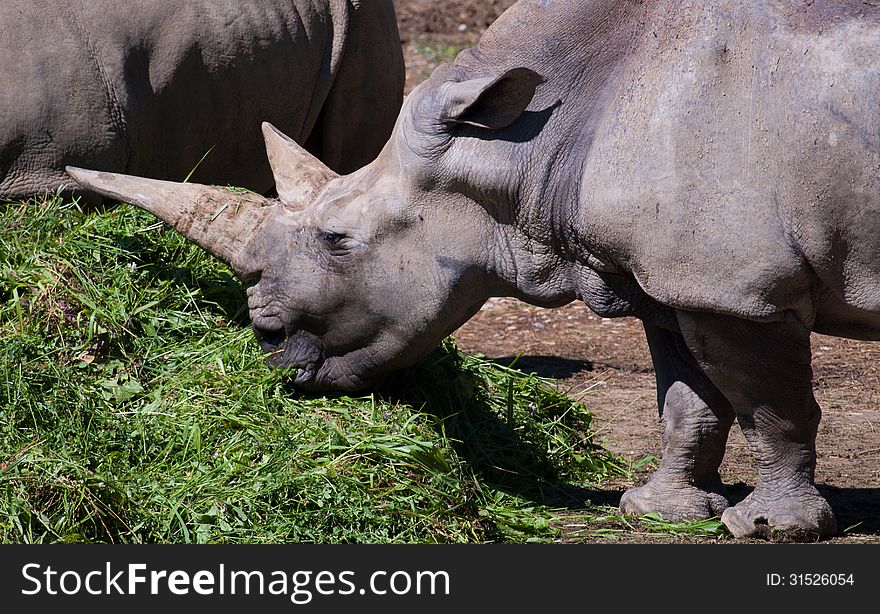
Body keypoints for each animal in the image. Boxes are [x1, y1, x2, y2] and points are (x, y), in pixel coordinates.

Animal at [67, 0, 880, 540]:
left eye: (338, 240)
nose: (266, 343)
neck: (521, 149)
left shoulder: (737, 289)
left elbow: (770, 406)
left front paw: (772, 528)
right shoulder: (670, 277)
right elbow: (688, 397)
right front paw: (659, 511)